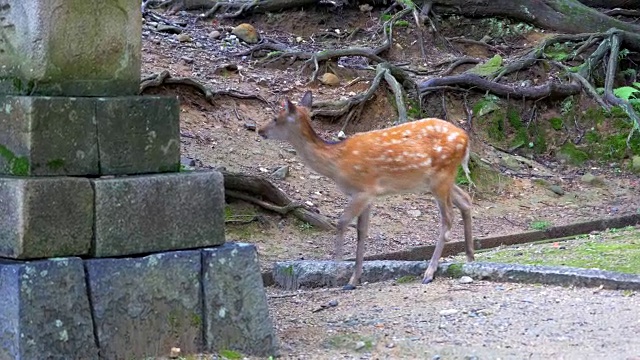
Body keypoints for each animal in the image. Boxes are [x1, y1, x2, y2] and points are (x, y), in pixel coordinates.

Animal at [258, 90, 472, 290]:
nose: (259, 130)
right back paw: (470, 257)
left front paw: (336, 271)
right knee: (465, 199)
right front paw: (353, 280)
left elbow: (342, 223)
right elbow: (362, 231)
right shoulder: (368, 196)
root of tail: (466, 139)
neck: (336, 162)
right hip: (439, 180)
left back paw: (429, 272)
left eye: (276, 117)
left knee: (448, 218)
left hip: (441, 176)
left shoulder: (363, 190)